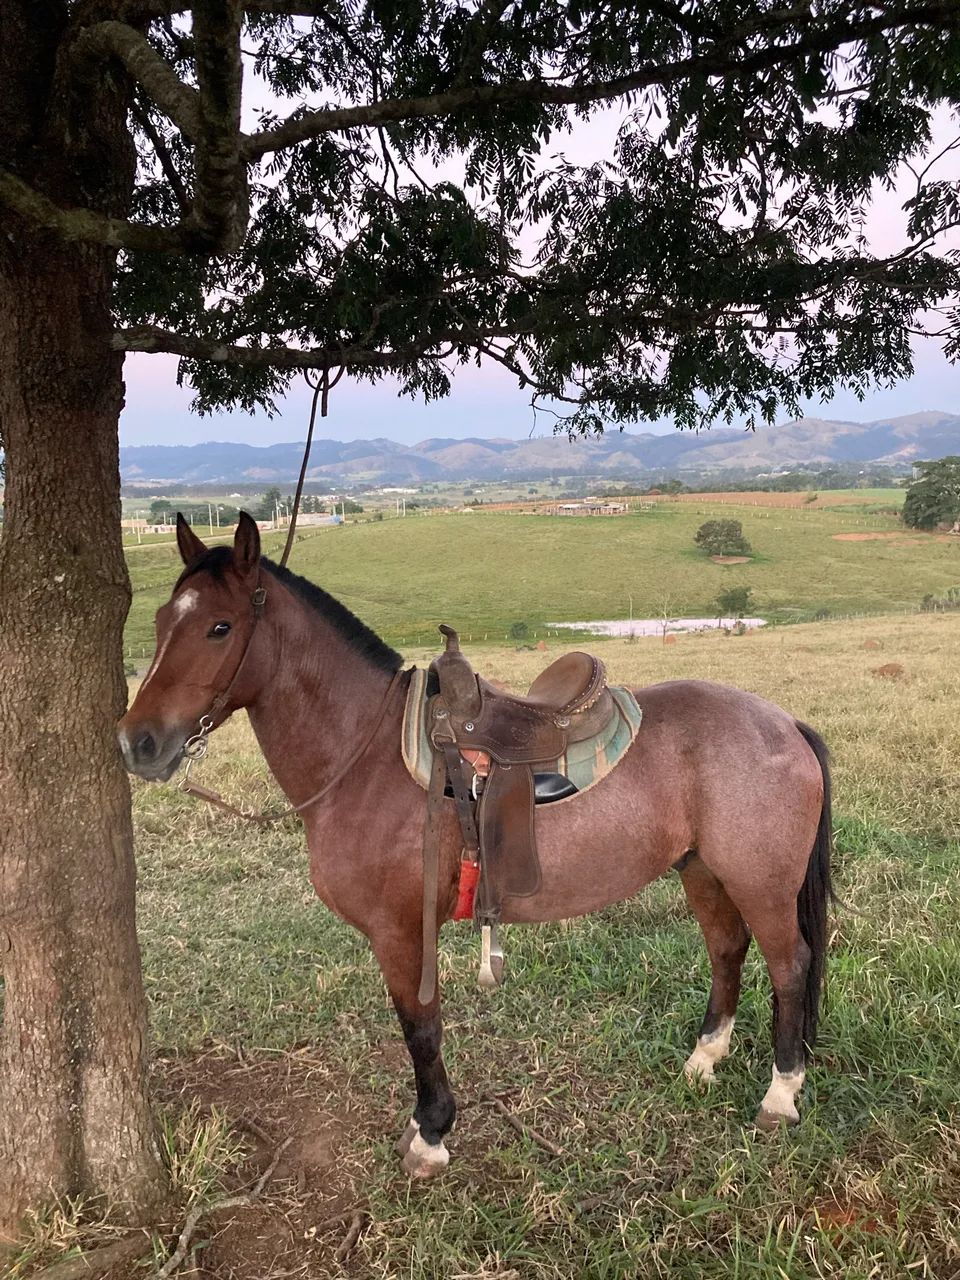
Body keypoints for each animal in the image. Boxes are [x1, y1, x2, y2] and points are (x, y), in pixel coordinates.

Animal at [118, 512, 833, 1178]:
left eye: (219, 628)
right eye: (159, 620)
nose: (137, 742)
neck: (366, 754)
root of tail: (782, 722)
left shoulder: (401, 931)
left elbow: (420, 1027)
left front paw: (431, 1134)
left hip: (761, 884)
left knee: (789, 965)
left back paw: (780, 1095)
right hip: (703, 871)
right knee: (727, 950)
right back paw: (703, 1060)